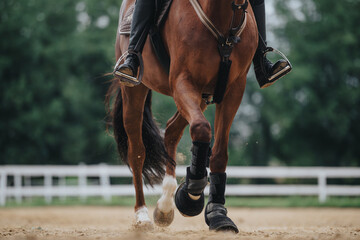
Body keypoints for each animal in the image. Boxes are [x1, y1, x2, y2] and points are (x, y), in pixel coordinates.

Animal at [105, 0, 258, 232]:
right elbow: (202, 129)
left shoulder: (234, 89)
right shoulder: (182, 81)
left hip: (201, 97)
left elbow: (219, 152)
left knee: (171, 131)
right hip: (134, 90)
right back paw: (142, 215)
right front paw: (190, 195)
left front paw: (217, 214)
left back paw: (165, 205)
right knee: (137, 152)